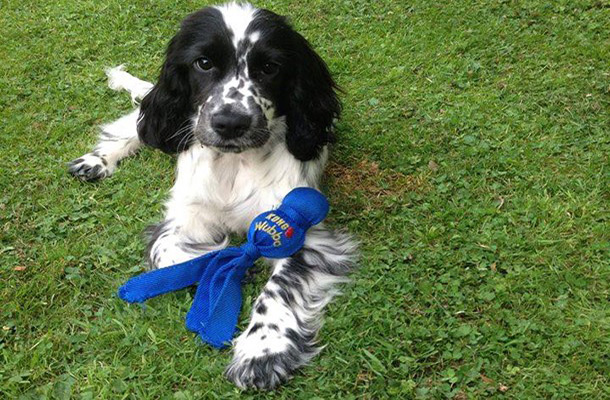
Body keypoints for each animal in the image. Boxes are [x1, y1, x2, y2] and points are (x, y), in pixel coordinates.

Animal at [67, 1, 356, 390]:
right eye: (203, 63)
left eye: (270, 67)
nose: (231, 123)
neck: (234, 163)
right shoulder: (185, 214)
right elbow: (167, 253)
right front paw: (215, 259)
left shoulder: (298, 227)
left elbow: (279, 290)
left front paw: (262, 351)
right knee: (136, 125)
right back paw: (96, 161)